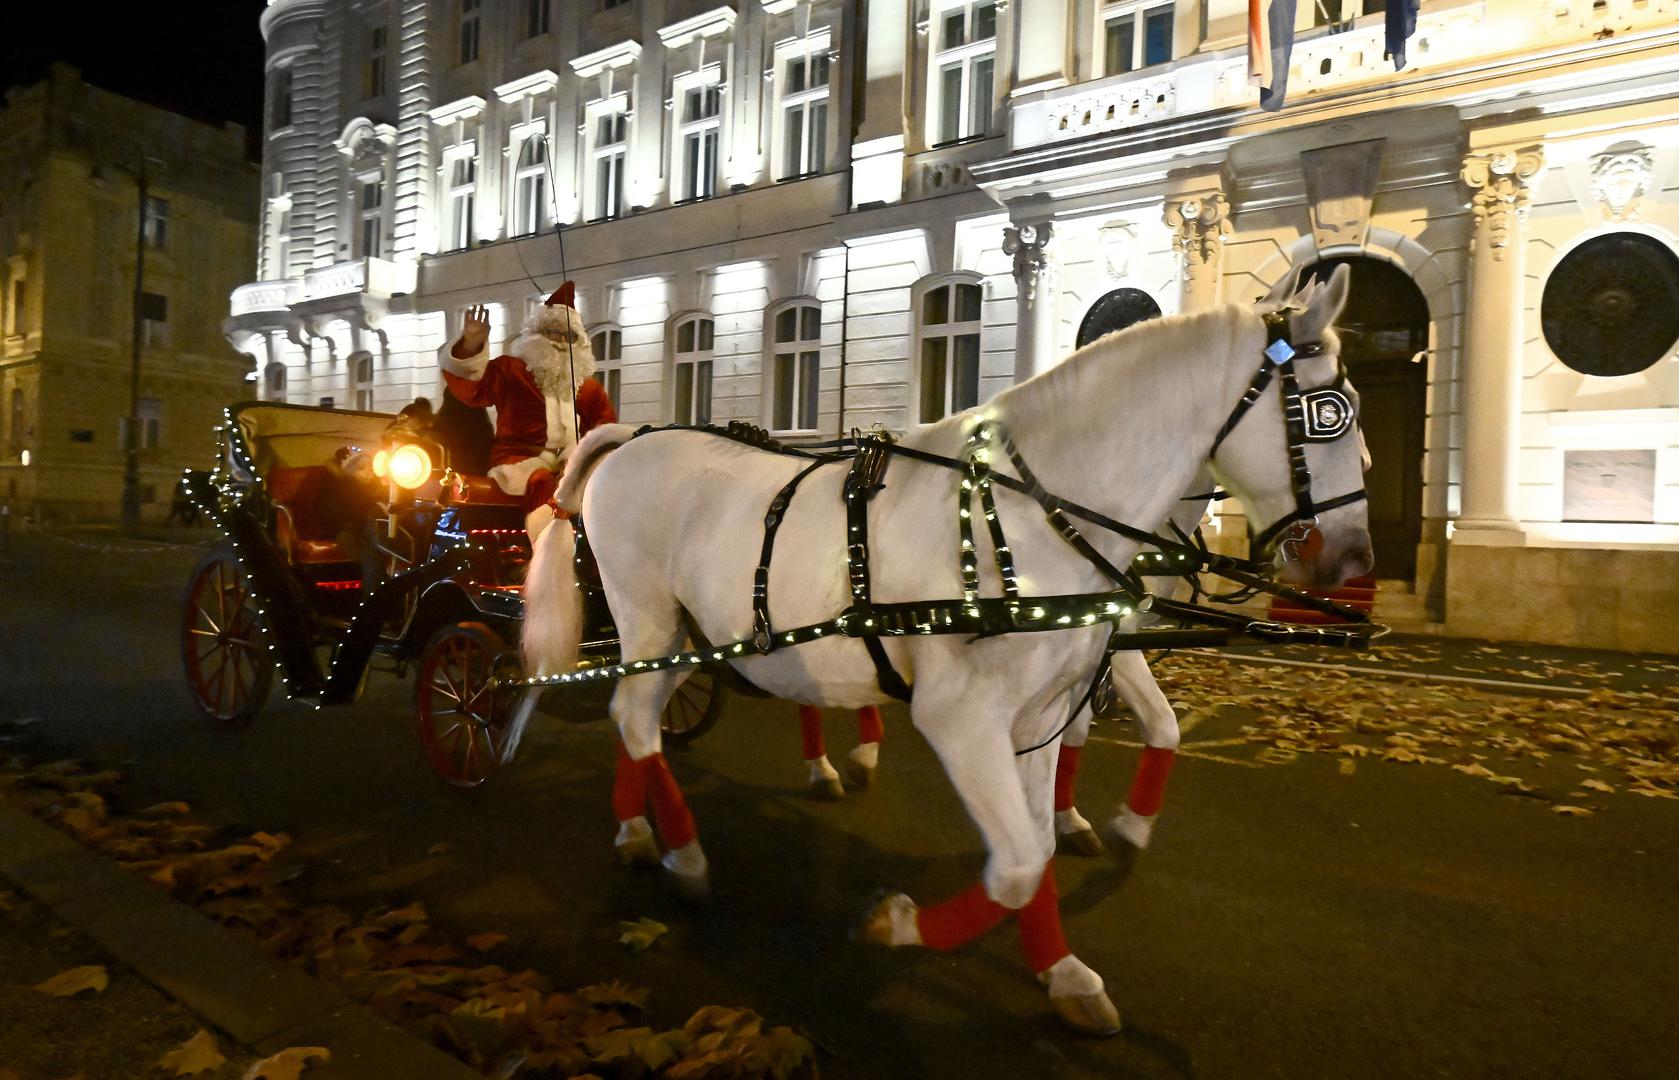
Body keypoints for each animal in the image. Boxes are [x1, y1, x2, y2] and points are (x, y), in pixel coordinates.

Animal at [520, 265, 1363, 1034]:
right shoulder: (963, 720)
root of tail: (635, 436)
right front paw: (897, 924)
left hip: (697, 636)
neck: (1034, 518)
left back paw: (643, 828)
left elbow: (1042, 843)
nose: (1351, 561)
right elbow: (1015, 865)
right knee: (635, 718)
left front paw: (1063, 968)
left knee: (643, 714)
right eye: (1328, 413)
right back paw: (684, 855)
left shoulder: (1044, 711)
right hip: (650, 622)